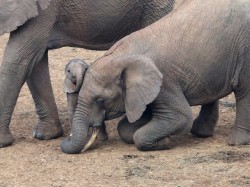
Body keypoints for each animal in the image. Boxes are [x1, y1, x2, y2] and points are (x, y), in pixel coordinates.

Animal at [60, 0, 250, 154]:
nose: (64, 139)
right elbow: (127, 126)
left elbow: (180, 117)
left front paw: (165, 141)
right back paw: (201, 133)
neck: (123, 57)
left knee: (244, 91)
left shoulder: (165, 82)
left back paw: (236, 142)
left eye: (100, 101)